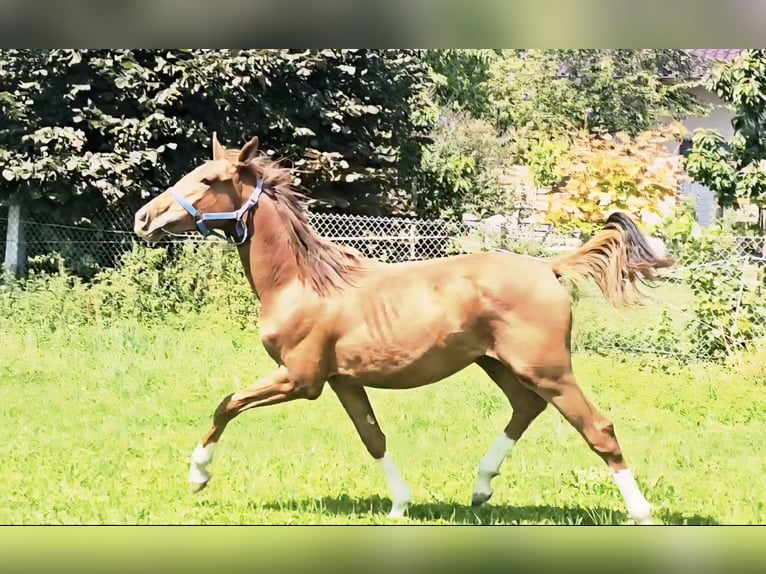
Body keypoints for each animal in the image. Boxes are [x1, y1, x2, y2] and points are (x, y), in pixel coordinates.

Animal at [133, 133, 673, 524]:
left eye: (208, 179)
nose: (143, 218)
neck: (303, 282)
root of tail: (550, 267)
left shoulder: (301, 379)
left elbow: (227, 403)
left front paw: (198, 475)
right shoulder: (343, 381)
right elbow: (374, 438)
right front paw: (399, 505)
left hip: (548, 369)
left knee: (597, 428)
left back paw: (641, 512)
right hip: (498, 364)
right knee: (526, 408)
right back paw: (481, 487)